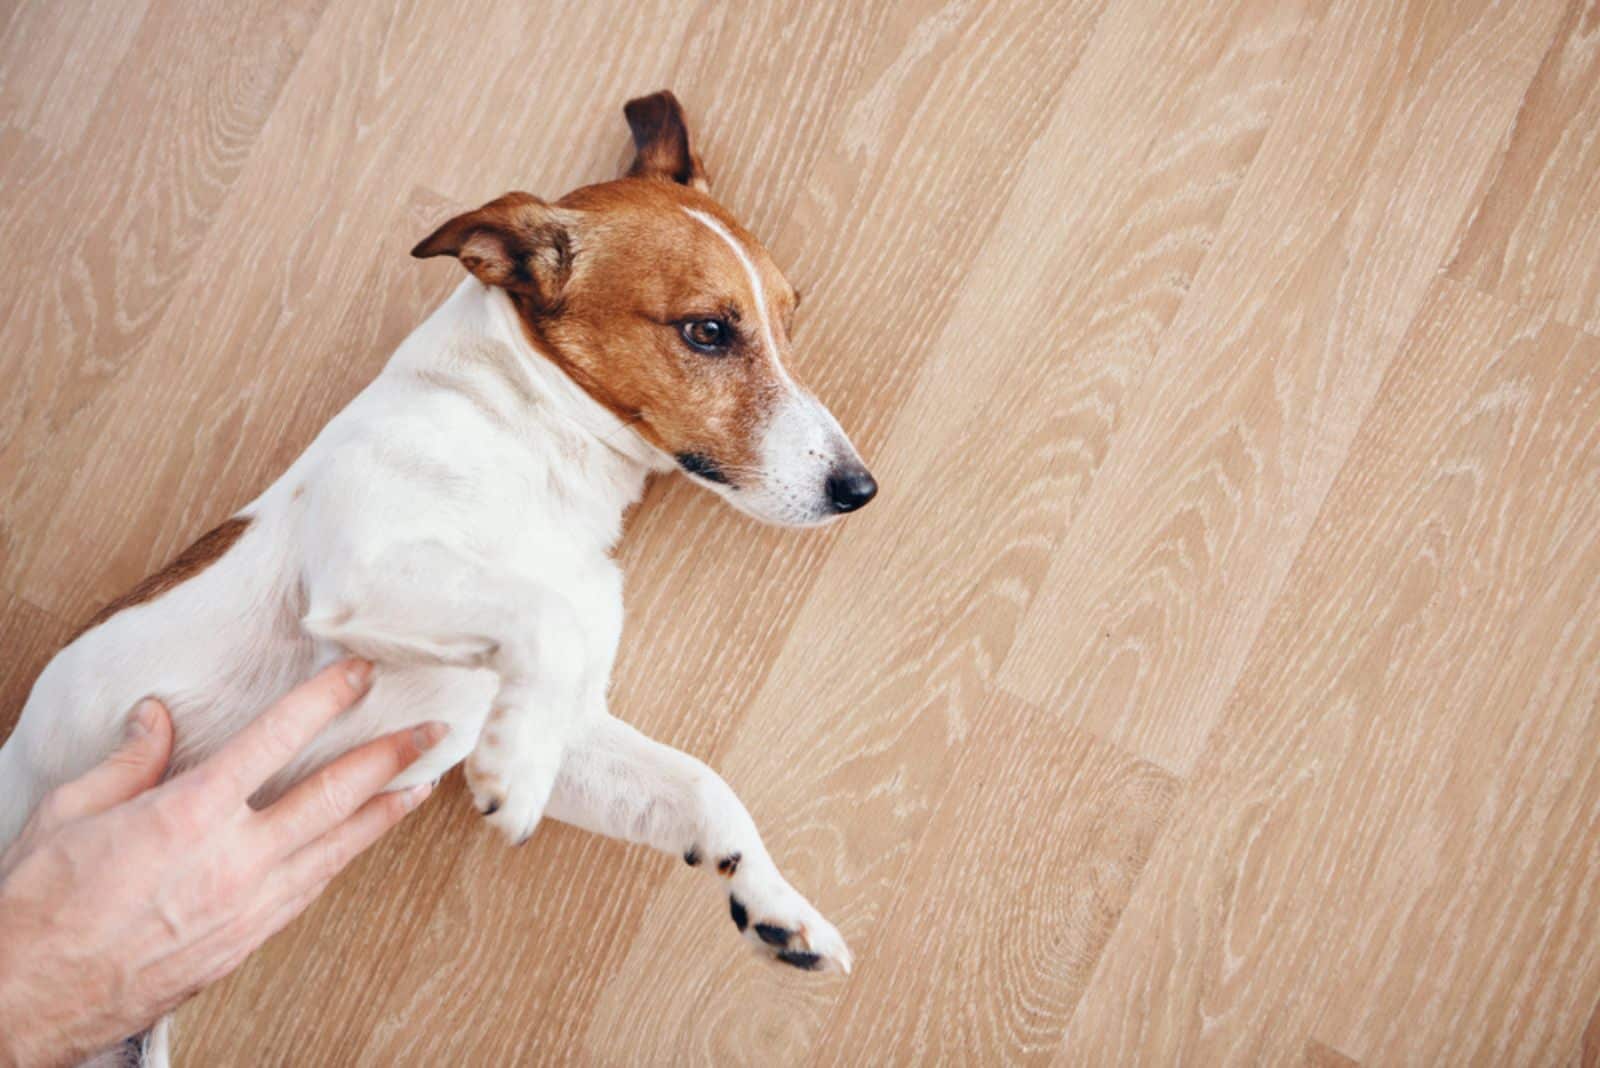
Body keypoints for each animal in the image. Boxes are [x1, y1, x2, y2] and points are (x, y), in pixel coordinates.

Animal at [0, 93, 876, 1068]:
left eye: (790, 320)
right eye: (708, 331)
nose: (858, 489)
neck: (539, 451)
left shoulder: (572, 724)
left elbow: (696, 782)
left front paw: (775, 906)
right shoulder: (368, 571)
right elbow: (540, 615)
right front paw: (513, 773)